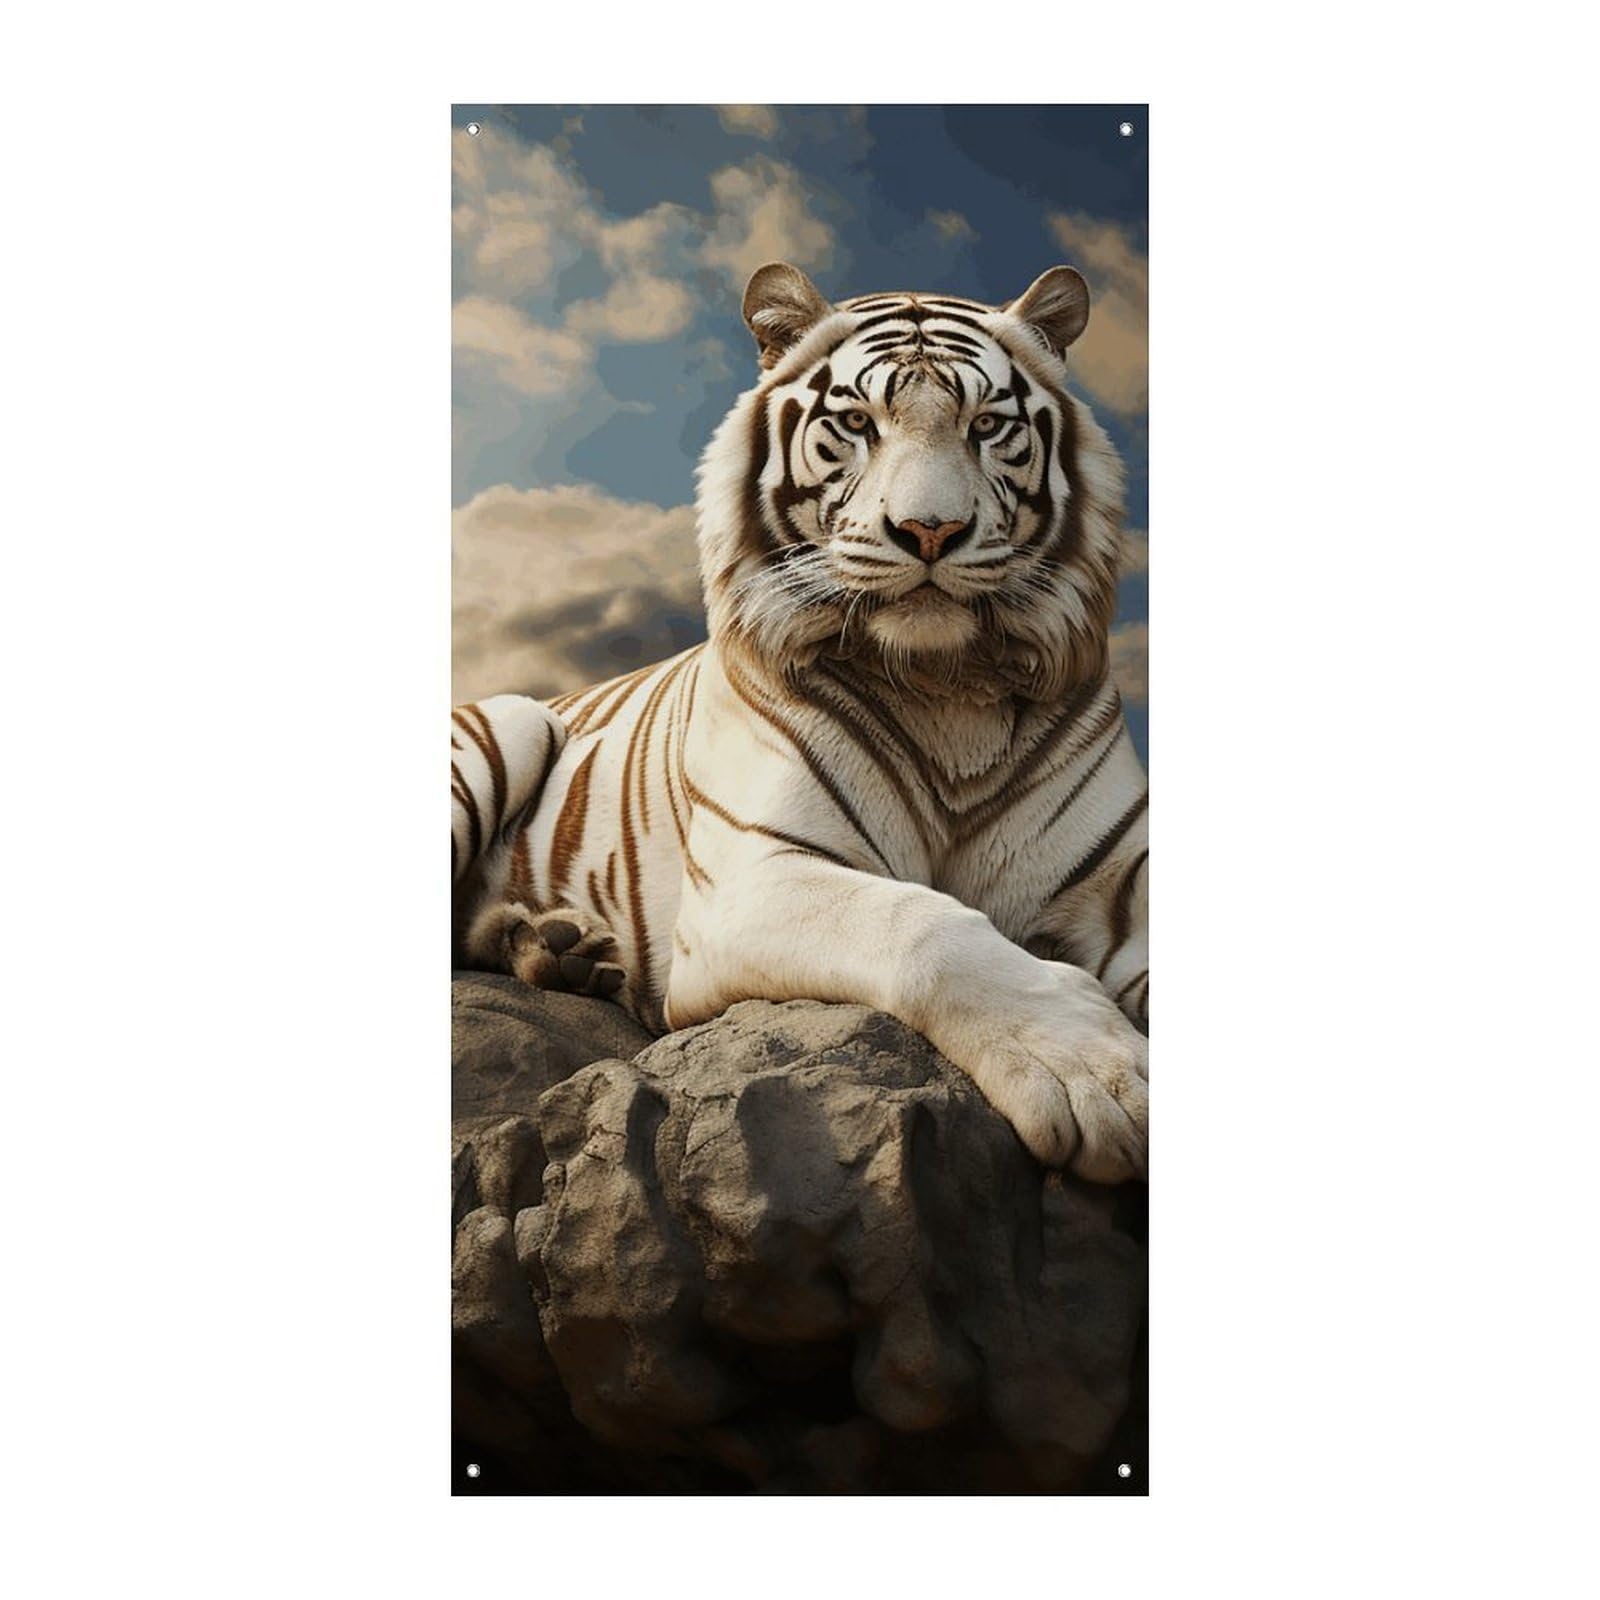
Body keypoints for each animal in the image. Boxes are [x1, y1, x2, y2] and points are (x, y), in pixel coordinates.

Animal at [452, 259, 1149, 1184]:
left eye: (987, 425)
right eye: (856, 423)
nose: (931, 530)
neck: (946, 686)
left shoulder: (1123, 878)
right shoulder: (753, 878)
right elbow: (922, 925)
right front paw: (1091, 1075)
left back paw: (556, 944)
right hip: (510, 724)